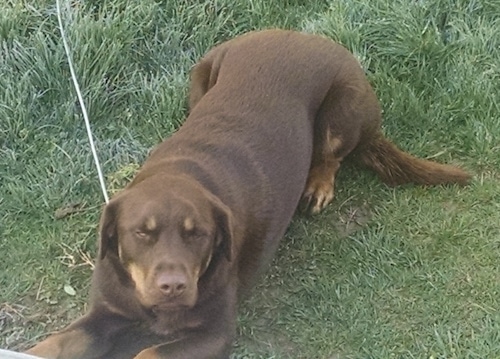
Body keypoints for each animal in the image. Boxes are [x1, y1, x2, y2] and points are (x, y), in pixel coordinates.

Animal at [27, 28, 470, 359]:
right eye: (142, 232)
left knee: (332, 155)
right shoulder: (106, 312)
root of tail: (302, 34)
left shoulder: (213, 333)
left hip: (343, 106)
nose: (173, 285)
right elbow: (58, 342)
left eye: (198, 234)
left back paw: (318, 185)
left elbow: (148, 351)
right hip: (201, 75)